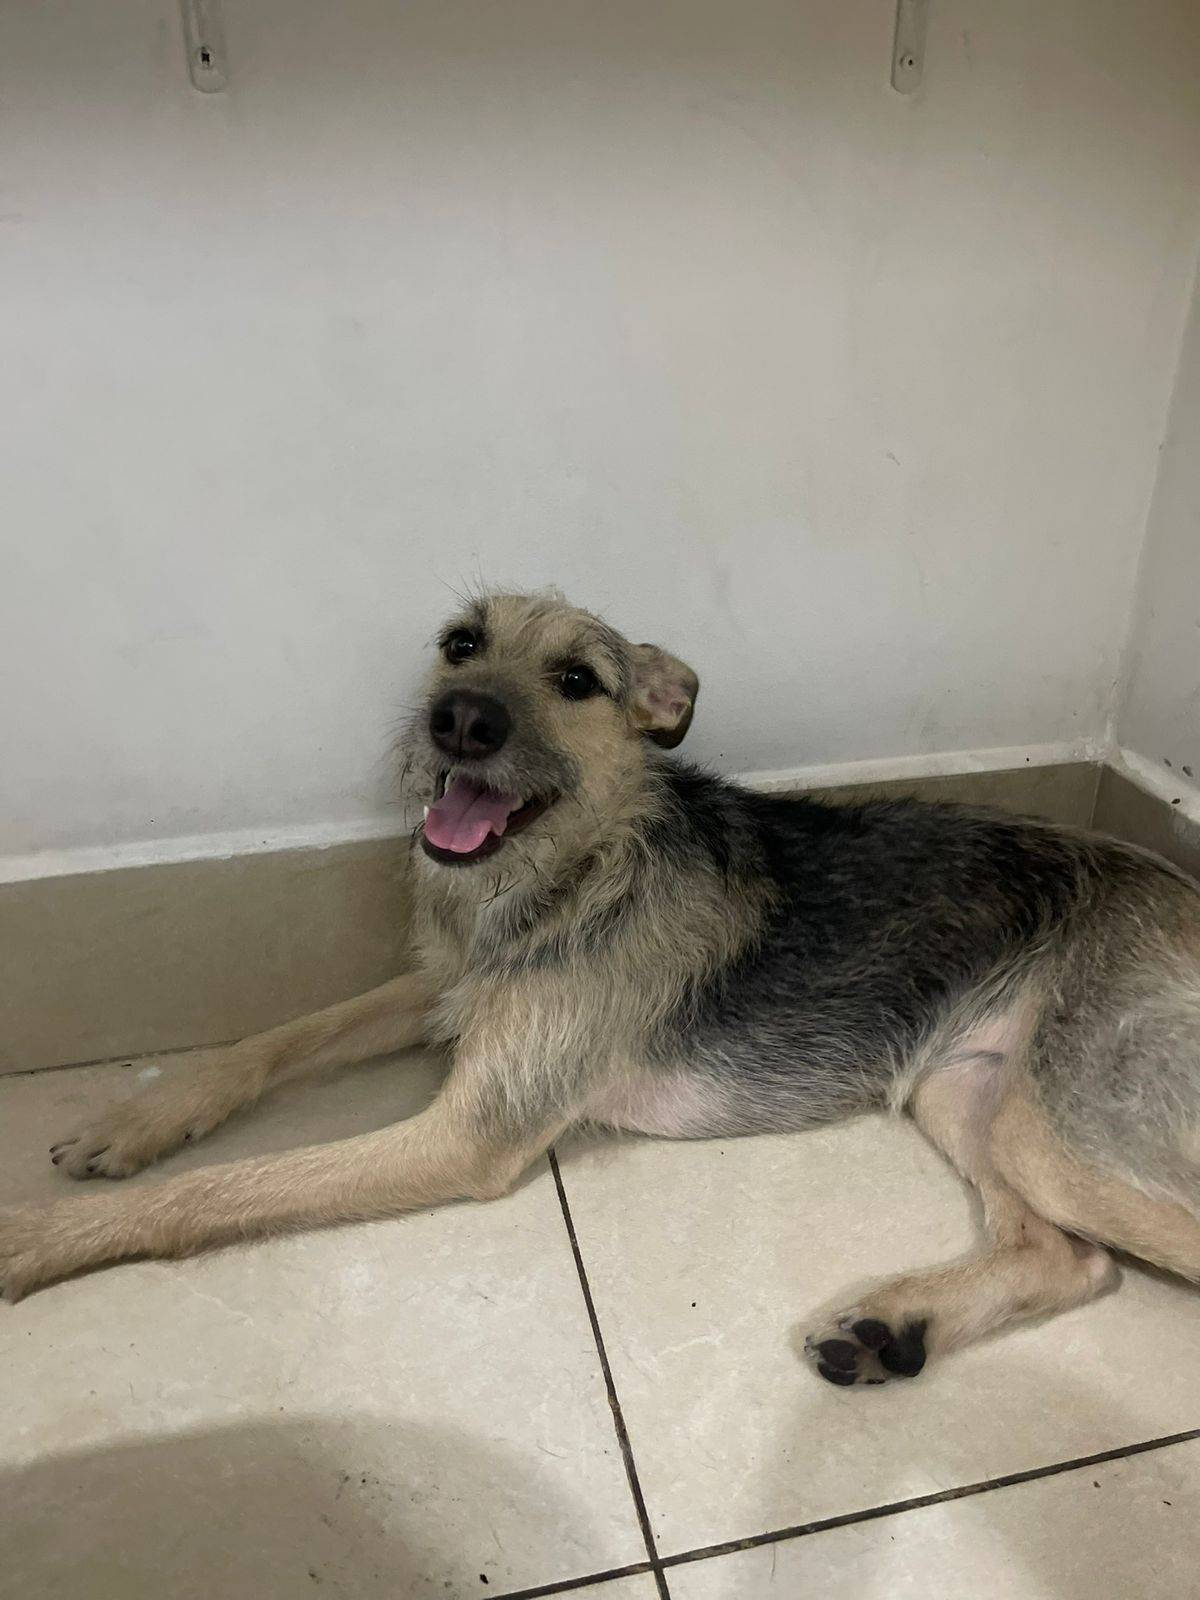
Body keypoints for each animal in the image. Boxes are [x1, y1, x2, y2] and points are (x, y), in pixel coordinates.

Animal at [5, 589, 1200, 1388]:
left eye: (577, 680)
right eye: (461, 643)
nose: (460, 719)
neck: (565, 877)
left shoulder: (469, 1133)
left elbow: (226, 1188)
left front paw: (41, 1236)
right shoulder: (443, 989)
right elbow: (272, 1041)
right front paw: (136, 1117)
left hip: (1064, 1128)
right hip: (973, 1094)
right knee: (1068, 1256)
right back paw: (893, 1329)